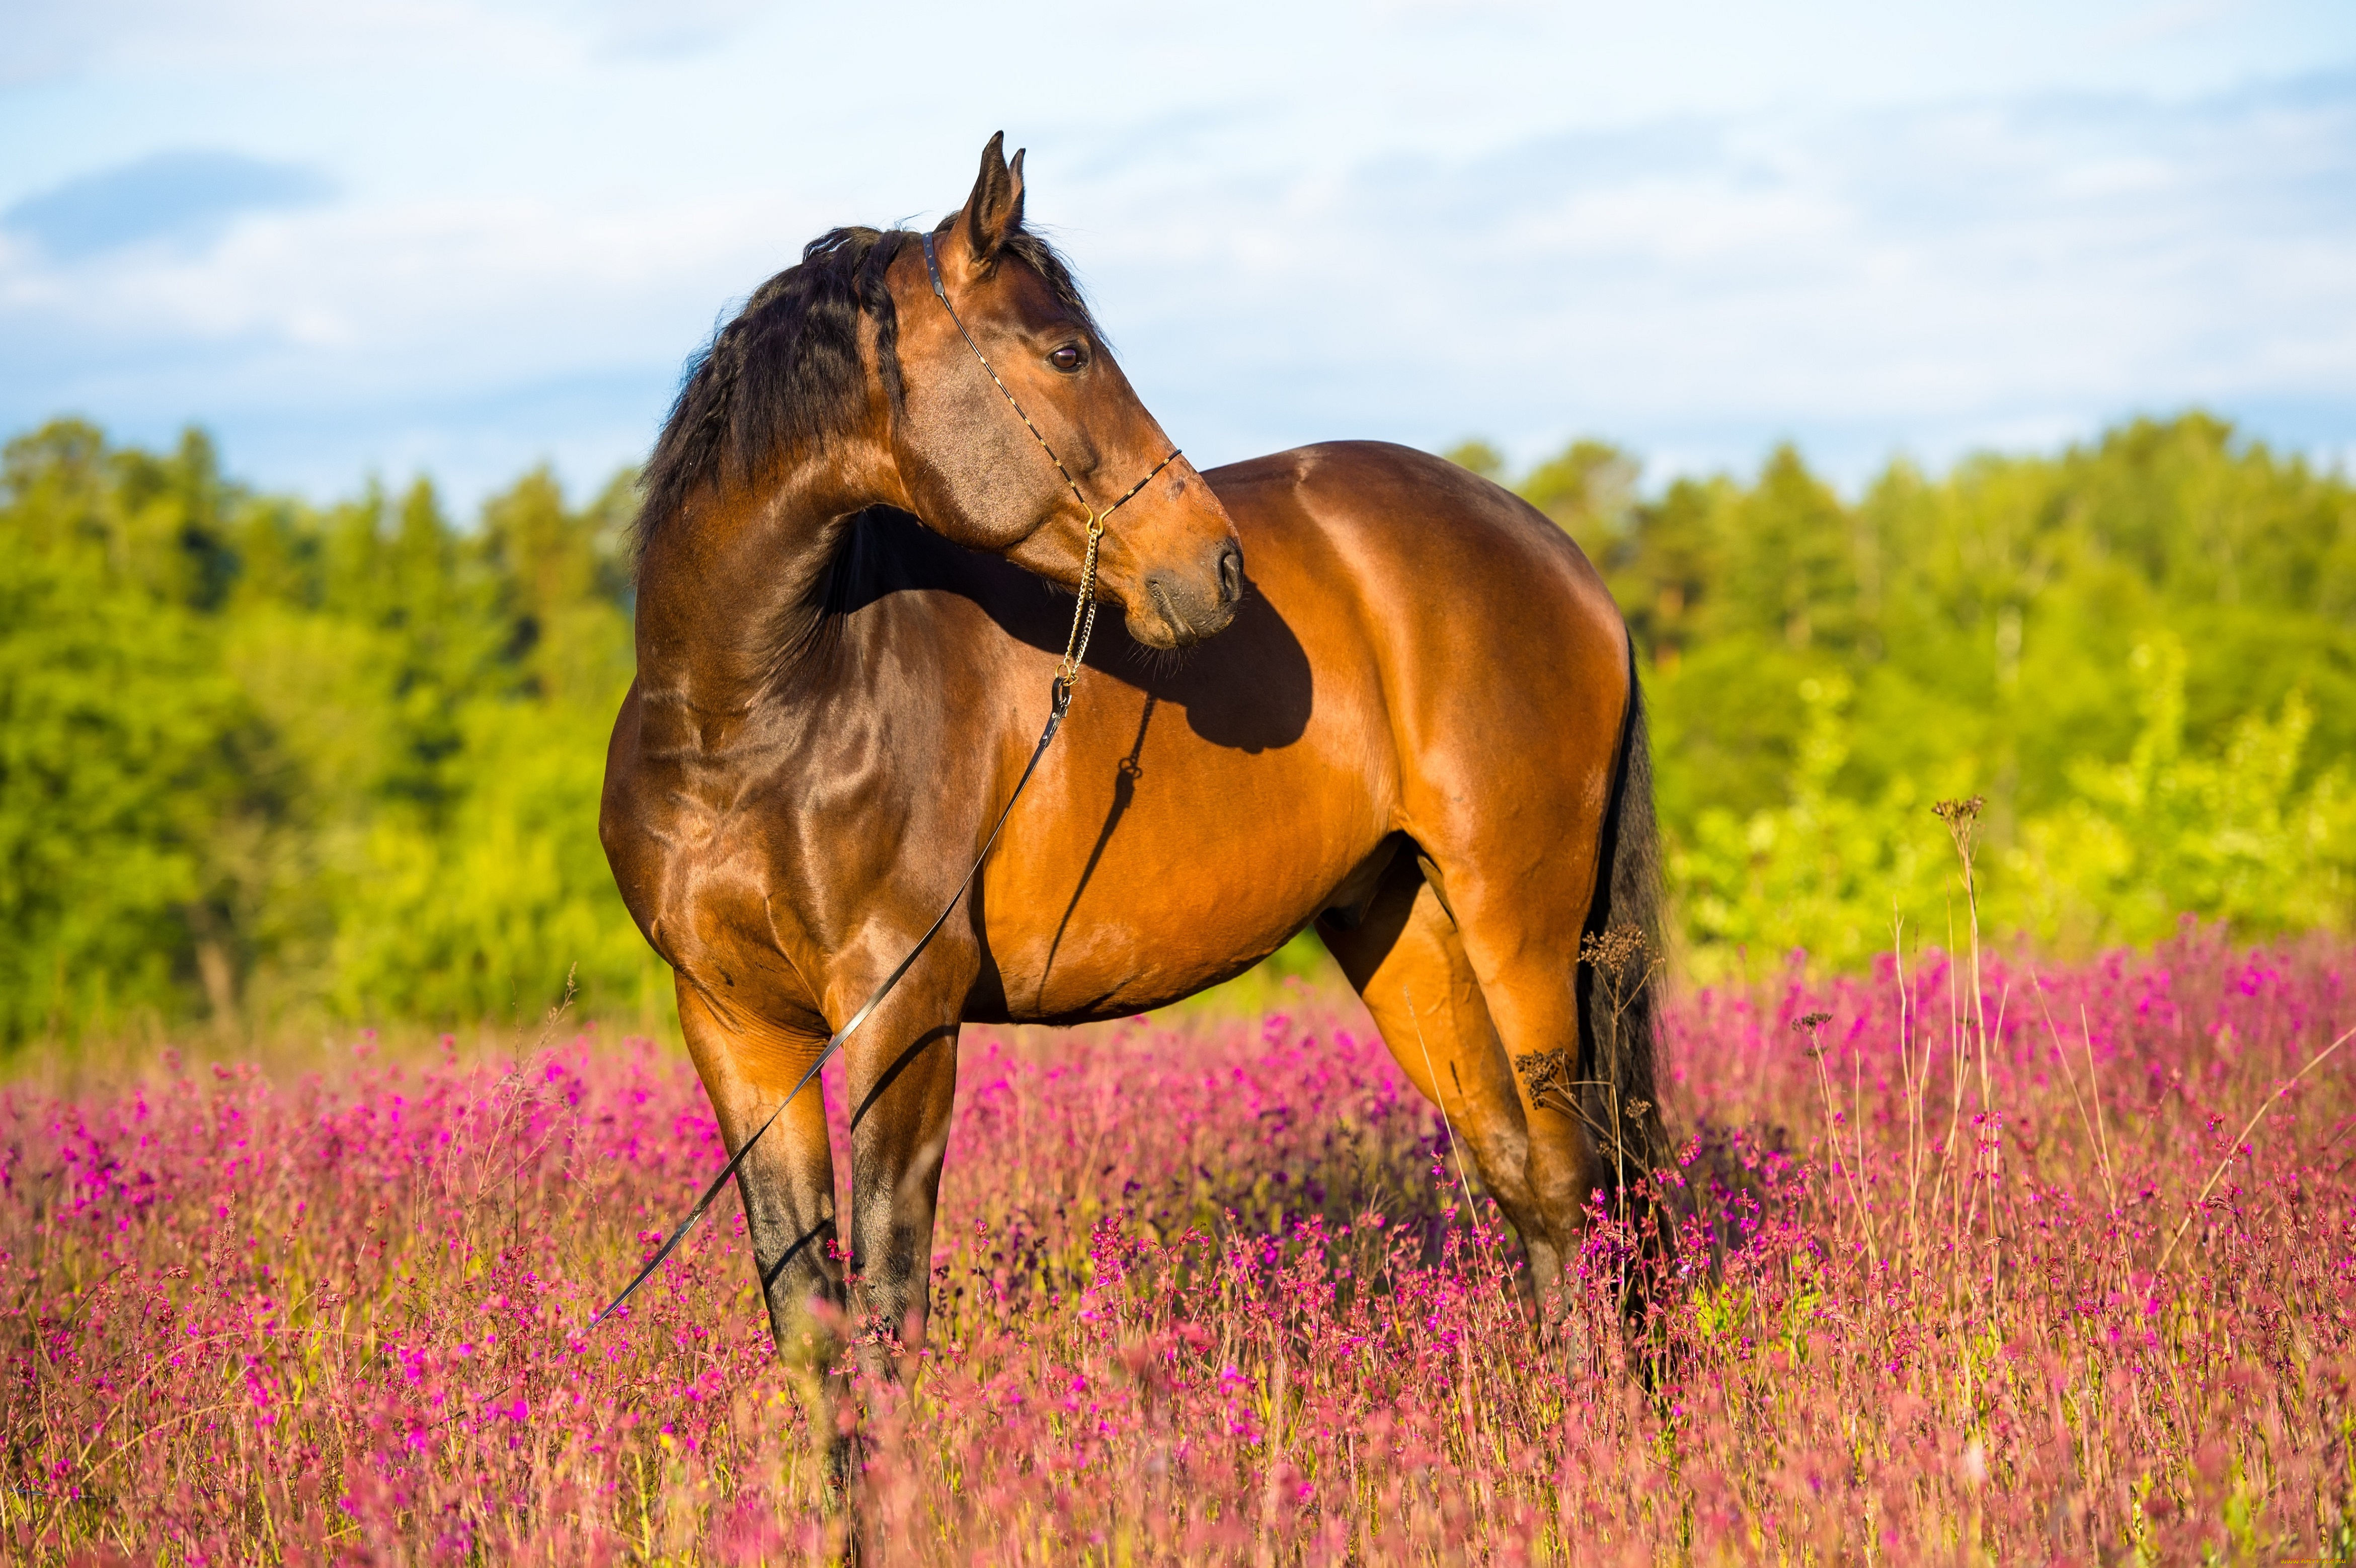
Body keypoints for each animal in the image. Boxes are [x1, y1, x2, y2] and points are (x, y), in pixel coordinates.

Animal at [607, 131, 1677, 1384]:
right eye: (1066, 351)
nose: (1216, 564)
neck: (753, 713)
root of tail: (1558, 553)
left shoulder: (901, 1013)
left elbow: (889, 1301)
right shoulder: (737, 1035)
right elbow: (812, 1320)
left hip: (1522, 921)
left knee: (1574, 1175)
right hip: (1404, 927)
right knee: (1525, 1183)